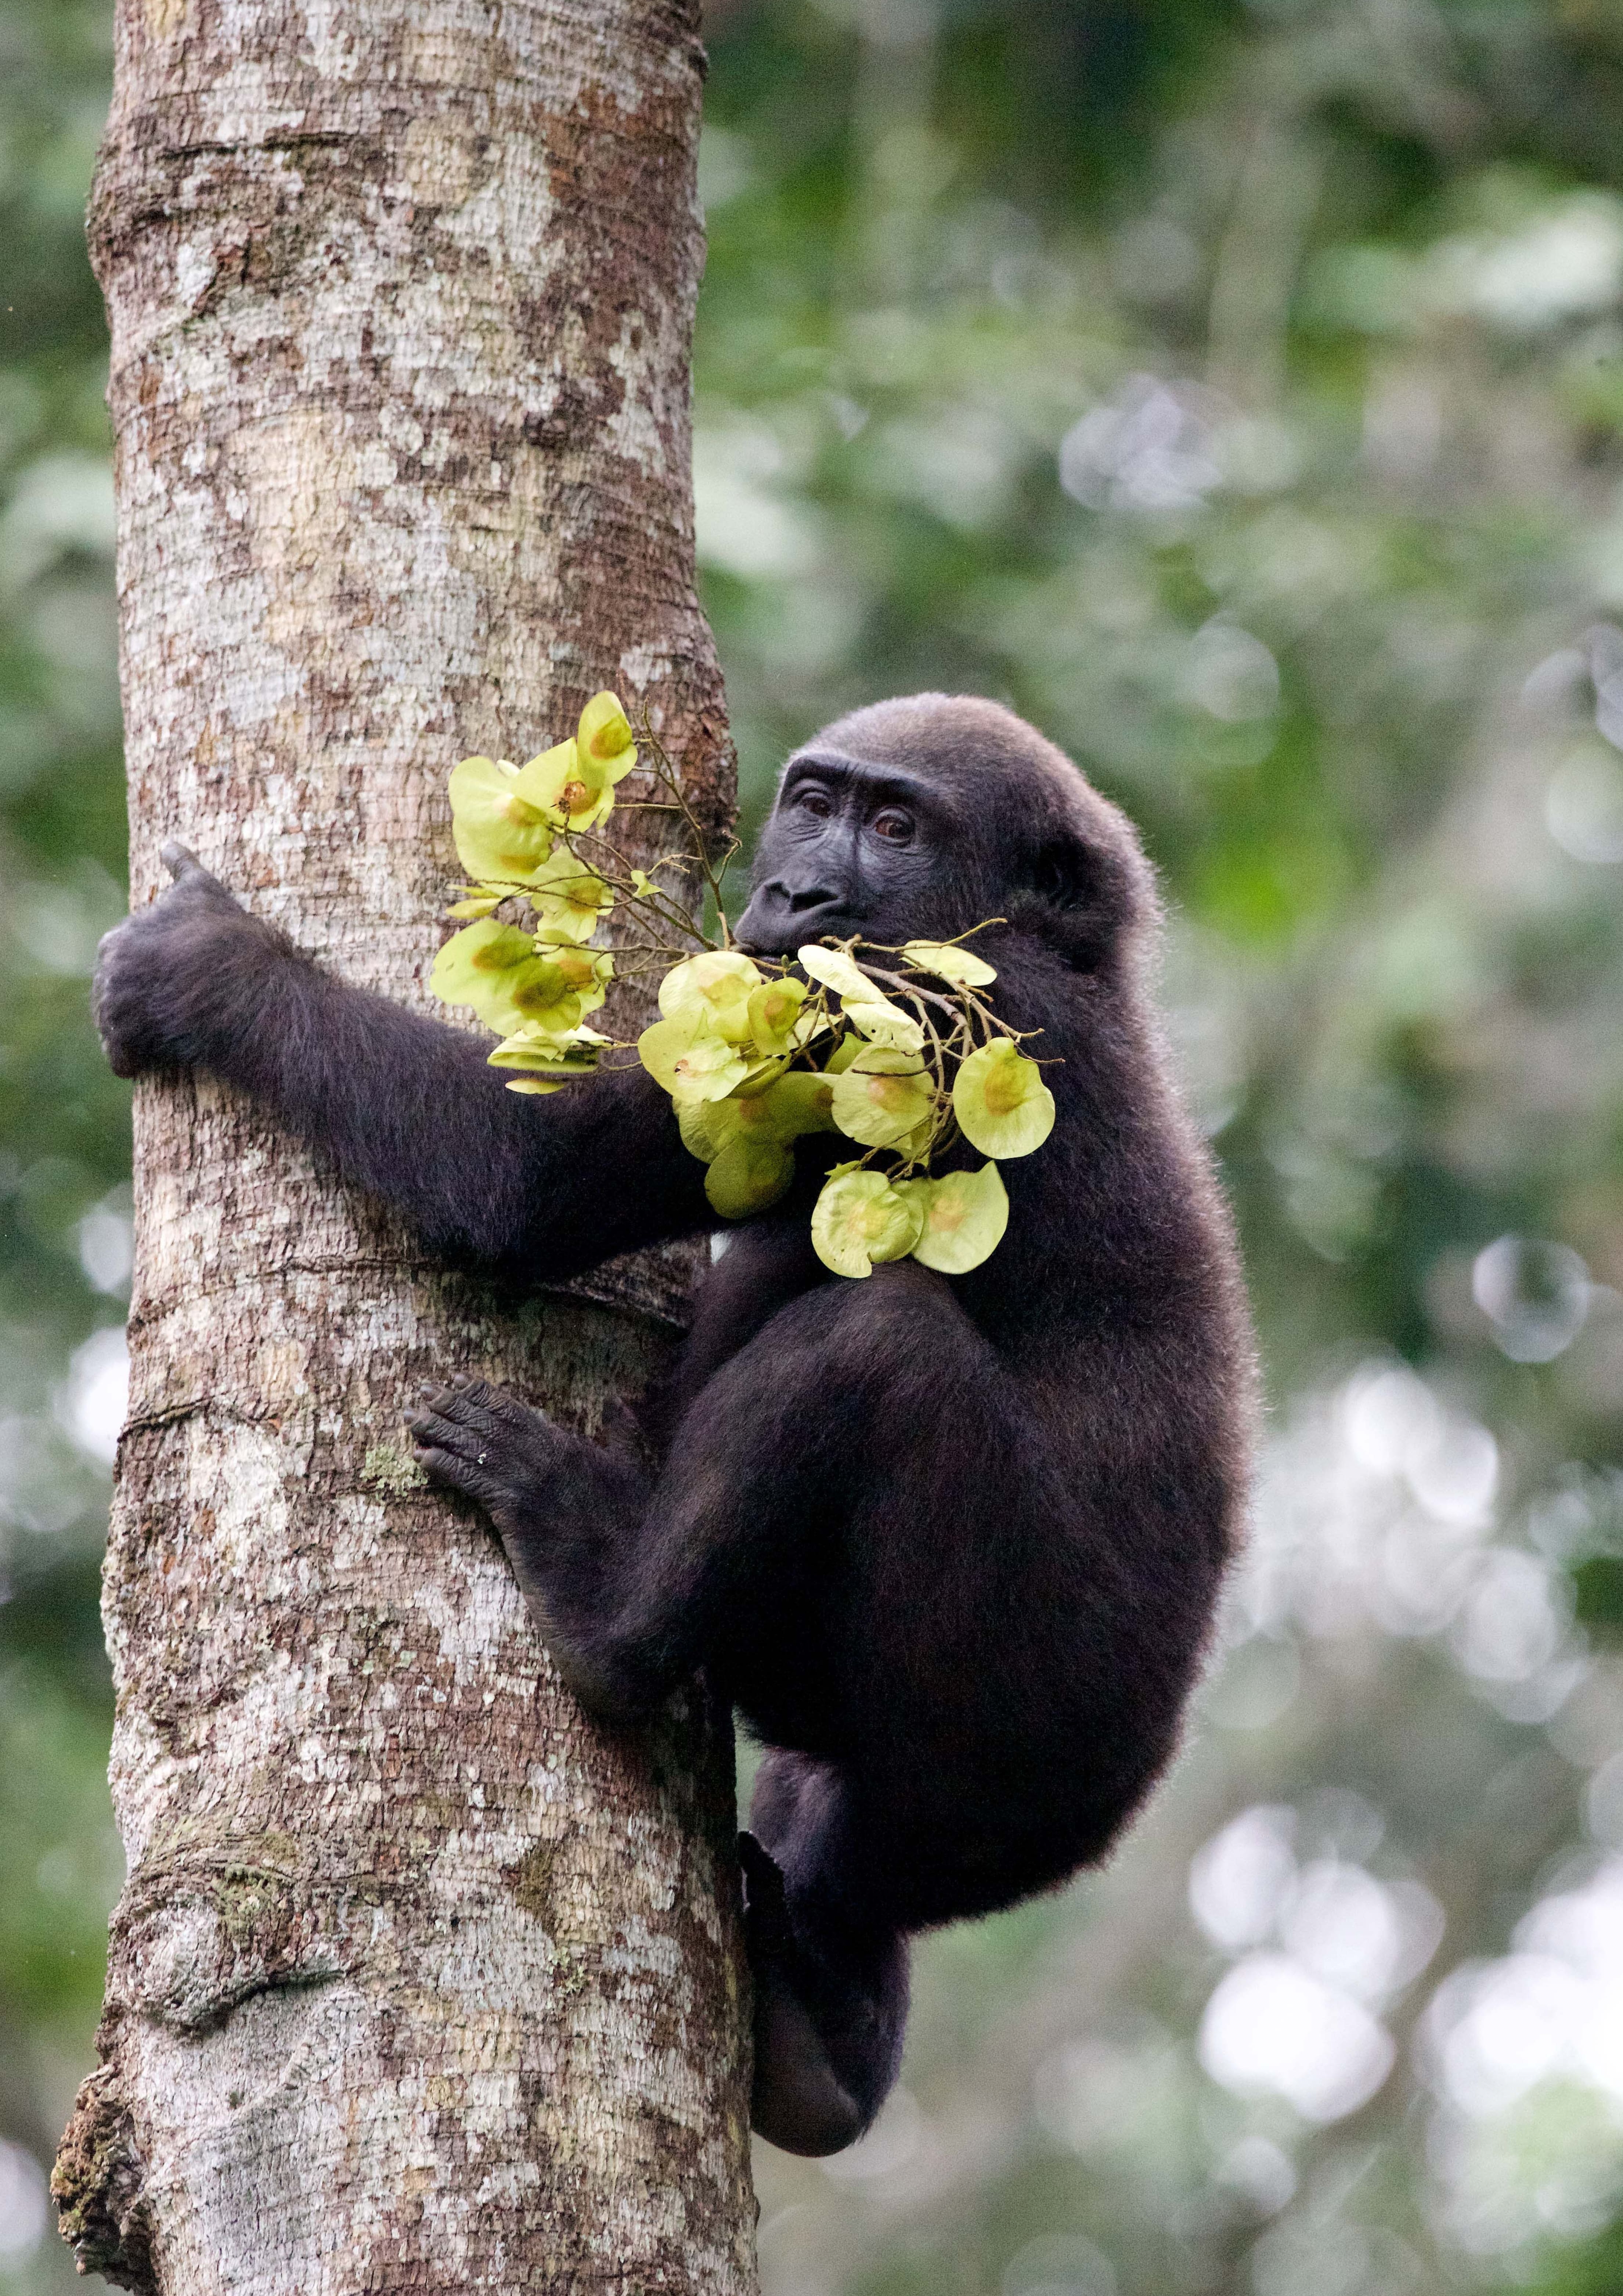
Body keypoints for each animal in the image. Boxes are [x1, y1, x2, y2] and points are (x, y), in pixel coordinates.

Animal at [92, 693, 1255, 2157]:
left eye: (895, 826)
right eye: (813, 805)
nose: (797, 890)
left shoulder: (895, 1009)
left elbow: (522, 1187)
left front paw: (208, 970)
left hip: (1007, 1718)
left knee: (868, 1351)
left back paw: (607, 1609)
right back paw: (822, 2039)